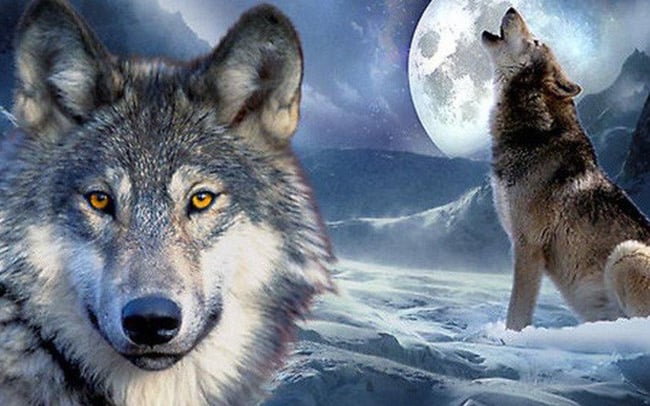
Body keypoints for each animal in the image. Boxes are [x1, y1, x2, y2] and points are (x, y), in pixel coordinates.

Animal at [482, 8, 650, 331]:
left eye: (535, 41)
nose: (510, 9)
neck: (533, 134)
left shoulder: (528, 245)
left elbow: (516, 314)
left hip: (625, 254)